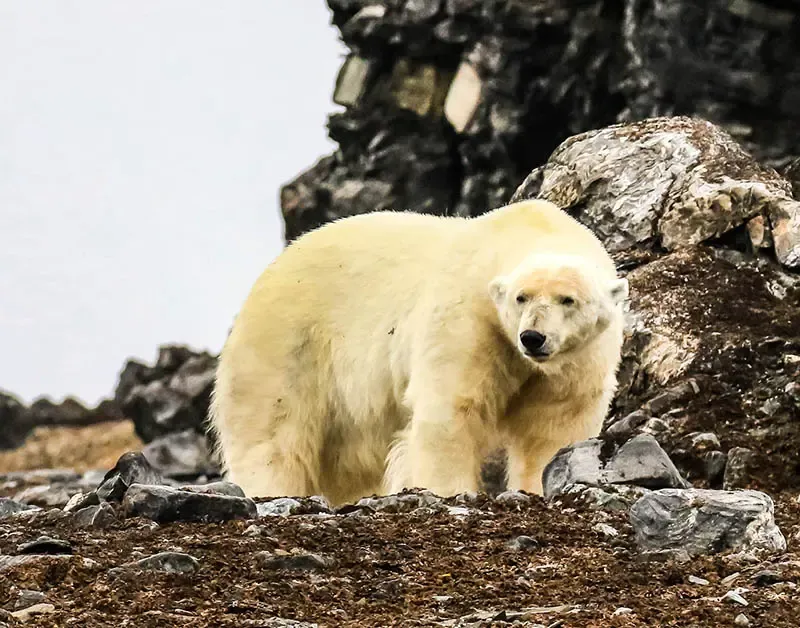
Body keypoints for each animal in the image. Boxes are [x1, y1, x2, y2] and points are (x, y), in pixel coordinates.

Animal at [209, 198, 628, 506]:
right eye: (521, 297)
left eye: (568, 299)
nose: (532, 337)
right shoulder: (467, 318)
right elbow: (451, 408)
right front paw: (450, 490)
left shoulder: (581, 358)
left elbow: (554, 425)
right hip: (287, 346)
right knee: (273, 435)